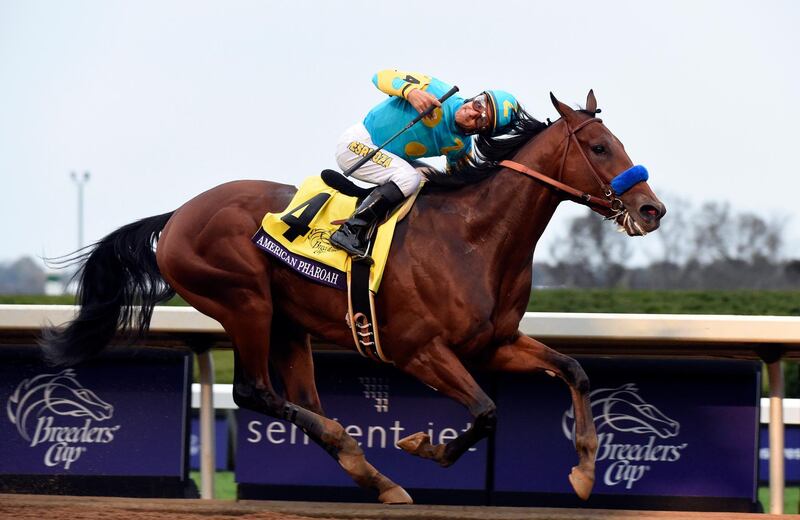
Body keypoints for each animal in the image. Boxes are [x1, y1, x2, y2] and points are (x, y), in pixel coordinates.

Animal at [45, 92, 668, 504]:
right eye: (599, 146)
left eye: (617, 143)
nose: (651, 209)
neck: (473, 237)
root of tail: (177, 216)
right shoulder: (418, 350)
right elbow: (486, 411)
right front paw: (423, 447)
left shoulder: (494, 343)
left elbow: (574, 370)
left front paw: (585, 471)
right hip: (244, 302)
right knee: (253, 391)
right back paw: (366, 463)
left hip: (288, 323)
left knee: (299, 398)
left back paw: (368, 471)